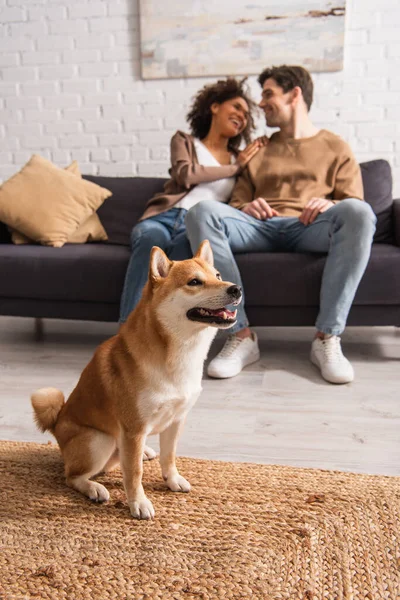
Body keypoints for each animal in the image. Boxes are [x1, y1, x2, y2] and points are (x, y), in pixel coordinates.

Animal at [31, 241, 242, 516]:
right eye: (194, 282)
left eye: (217, 275)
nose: (236, 288)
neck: (178, 355)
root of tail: (56, 424)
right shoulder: (133, 429)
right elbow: (133, 473)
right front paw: (138, 503)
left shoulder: (176, 419)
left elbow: (169, 456)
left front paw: (172, 480)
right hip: (100, 440)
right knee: (72, 476)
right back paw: (94, 488)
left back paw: (146, 452)